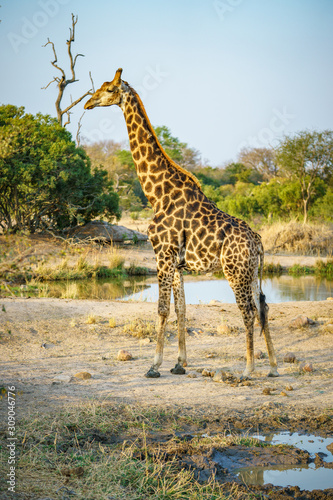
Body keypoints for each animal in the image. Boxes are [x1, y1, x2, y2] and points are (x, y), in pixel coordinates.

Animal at [85, 67, 278, 378]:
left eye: (109, 89)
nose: (87, 103)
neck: (157, 193)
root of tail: (259, 242)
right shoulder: (177, 262)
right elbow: (182, 310)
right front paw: (179, 363)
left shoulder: (162, 254)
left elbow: (162, 308)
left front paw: (153, 365)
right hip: (251, 273)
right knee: (263, 308)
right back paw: (272, 367)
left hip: (235, 271)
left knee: (248, 311)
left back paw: (248, 369)